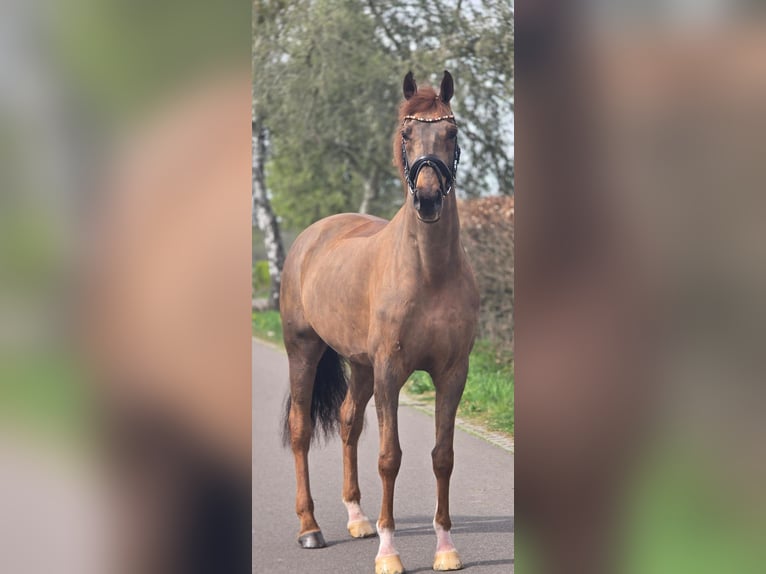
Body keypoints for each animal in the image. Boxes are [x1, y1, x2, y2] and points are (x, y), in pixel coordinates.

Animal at [279, 70, 480, 574]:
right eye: (407, 134)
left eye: (452, 133)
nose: (427, 198)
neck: (428, 272)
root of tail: (313, 234)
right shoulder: (391, 372)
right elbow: (390, 457)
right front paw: (389, 553)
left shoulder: (453, 373)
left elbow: (443, 456)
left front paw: (445, 548)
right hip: (303, 351)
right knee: (301, 429)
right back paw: (310, 528)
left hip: (361, 365)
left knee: (349, 422)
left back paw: (357, 517)